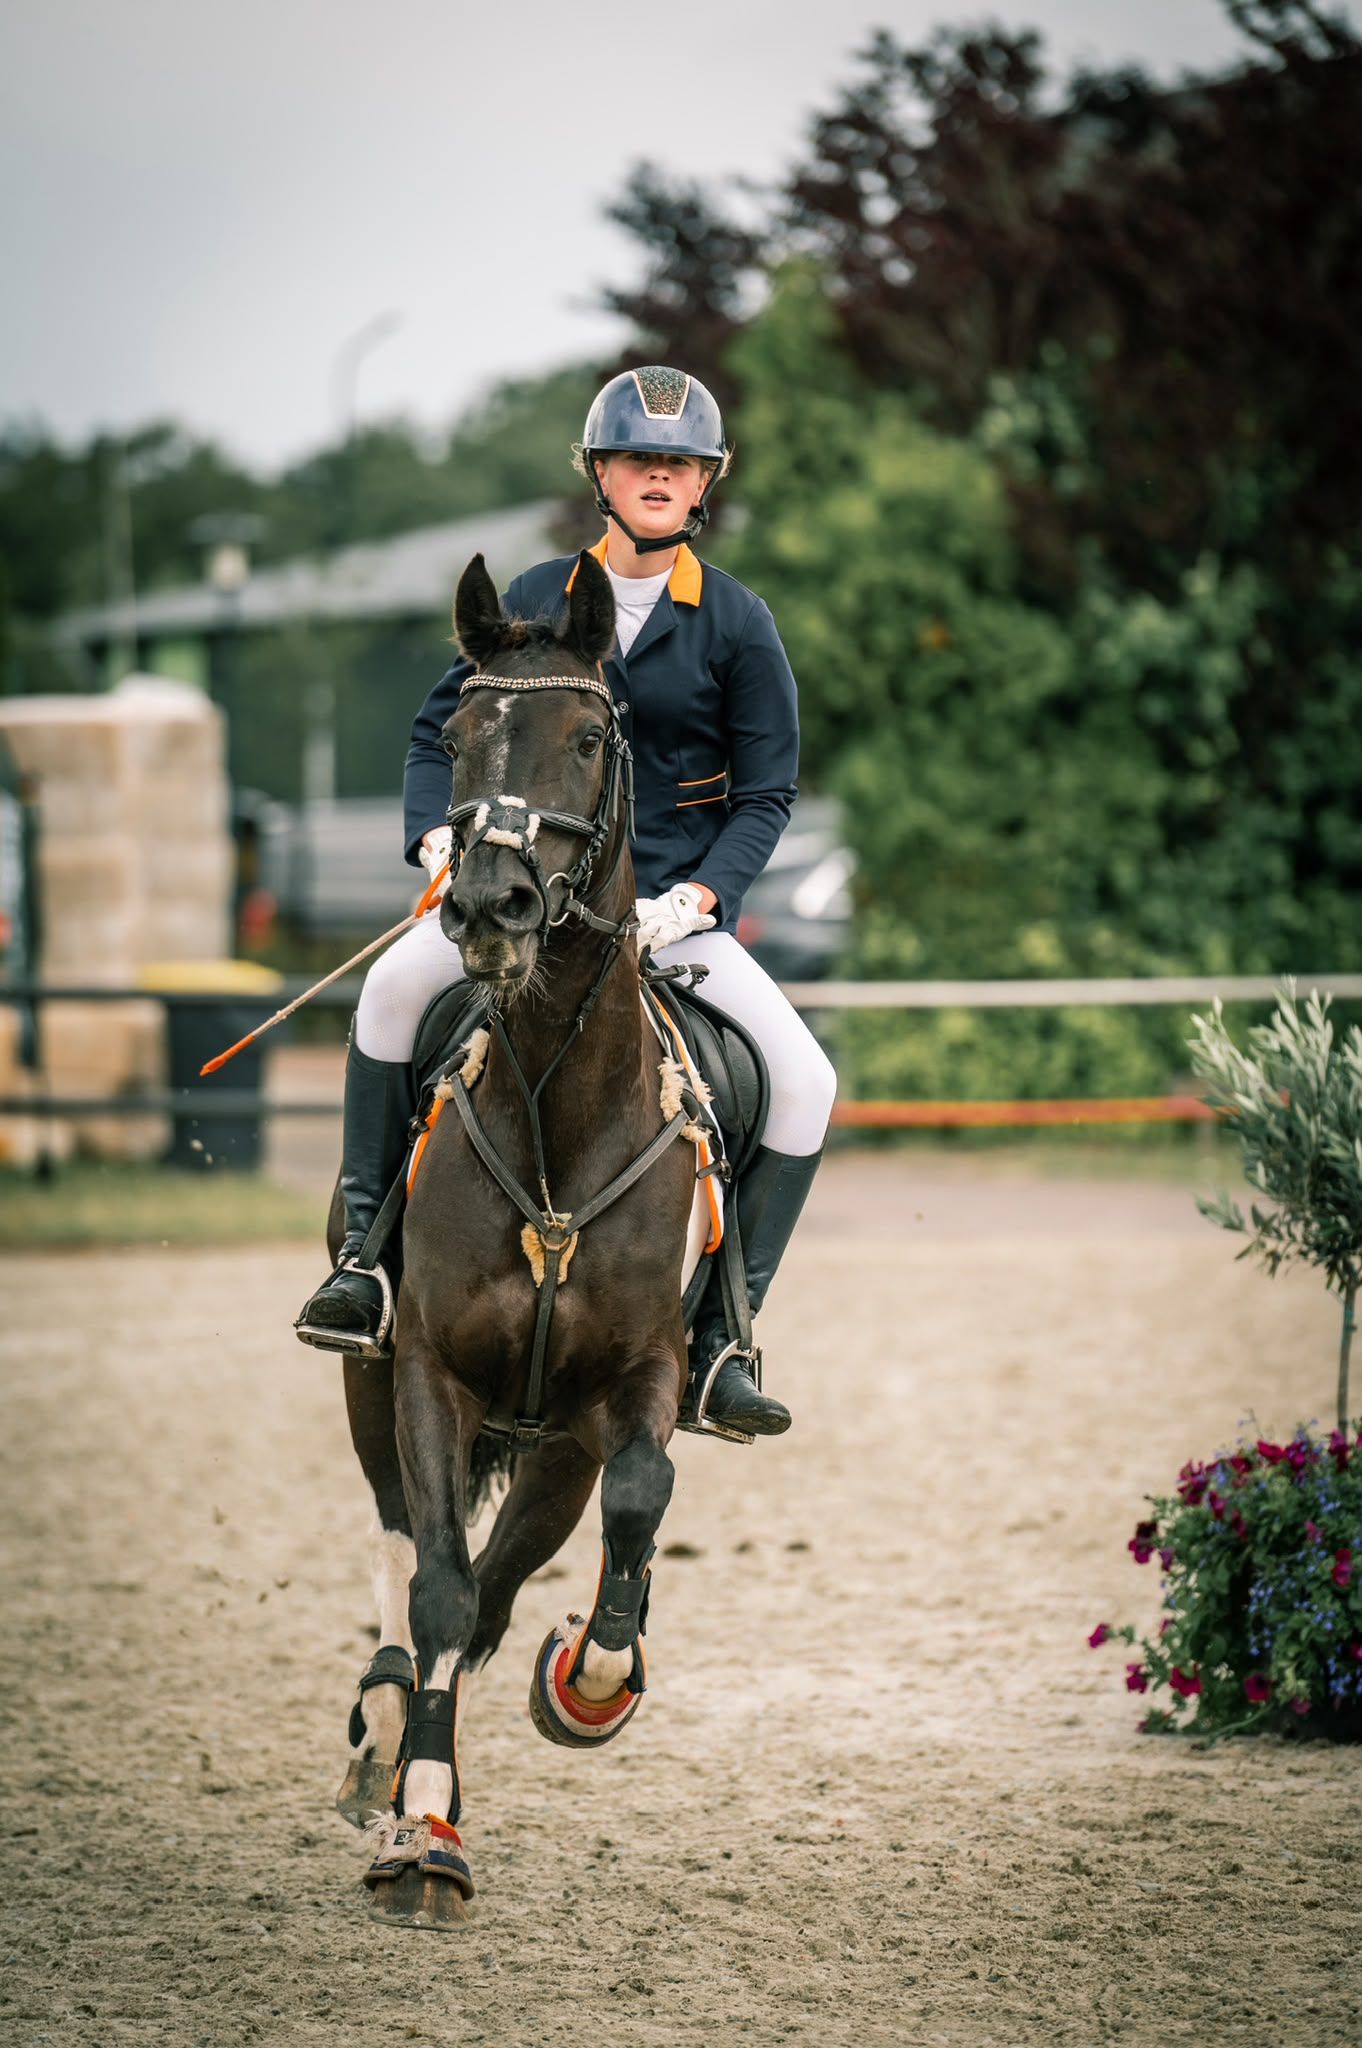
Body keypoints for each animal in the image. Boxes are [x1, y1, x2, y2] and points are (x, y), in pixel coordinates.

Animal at [332, 550, 711, 1926]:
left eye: (593, 739)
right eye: (458, 733)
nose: (490, 899)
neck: (559, 1101)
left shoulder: (638, 1377)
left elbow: (638, 1505)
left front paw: (593, 1682)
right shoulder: (430, 1372)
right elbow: (440, 1579)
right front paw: (425, 1827)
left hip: (558, 1449)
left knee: (508, 1575)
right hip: (373, 1383)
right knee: (411, 1548)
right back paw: (390, 1731)